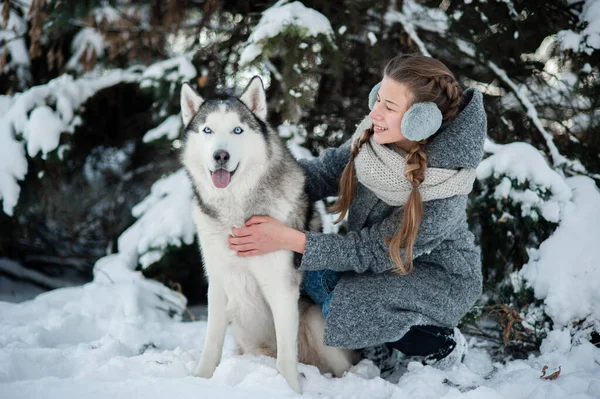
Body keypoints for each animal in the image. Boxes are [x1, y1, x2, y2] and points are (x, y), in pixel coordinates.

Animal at [178, 76, 356, 392]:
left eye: (237, 130)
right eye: (207, 130)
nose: (220, 155)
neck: (235, 212)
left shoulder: (281, 288)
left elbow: (286, 359)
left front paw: (291, 391)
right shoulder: (219, 284)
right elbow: (211, 344)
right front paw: (199, 380)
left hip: (315, 322)